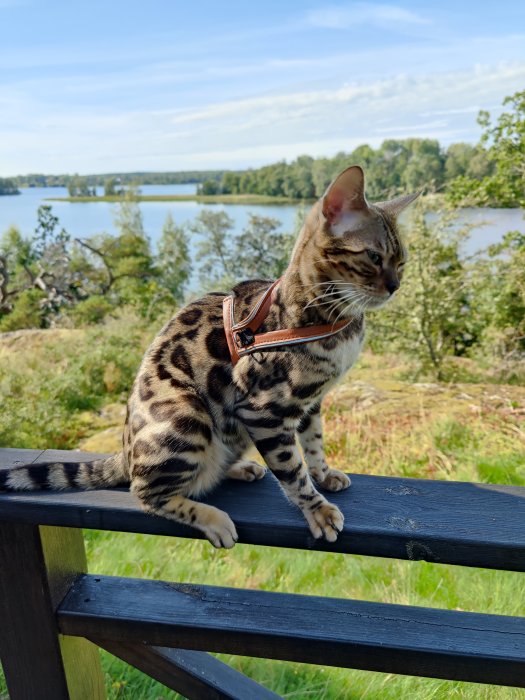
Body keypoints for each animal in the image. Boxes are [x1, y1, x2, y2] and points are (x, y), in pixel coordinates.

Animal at [0, 168, 418, 548]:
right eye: (374, 256)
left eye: (402, 262)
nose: (396, 286)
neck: (334, 320)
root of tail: (125, 453)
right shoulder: (264, 411)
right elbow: (292, 469)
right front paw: (317, 510)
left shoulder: (311, 403)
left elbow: (313, 444)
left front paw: (325, 473)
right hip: (186, 416)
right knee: (146, 492)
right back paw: (213, 518)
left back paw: (240, 468)